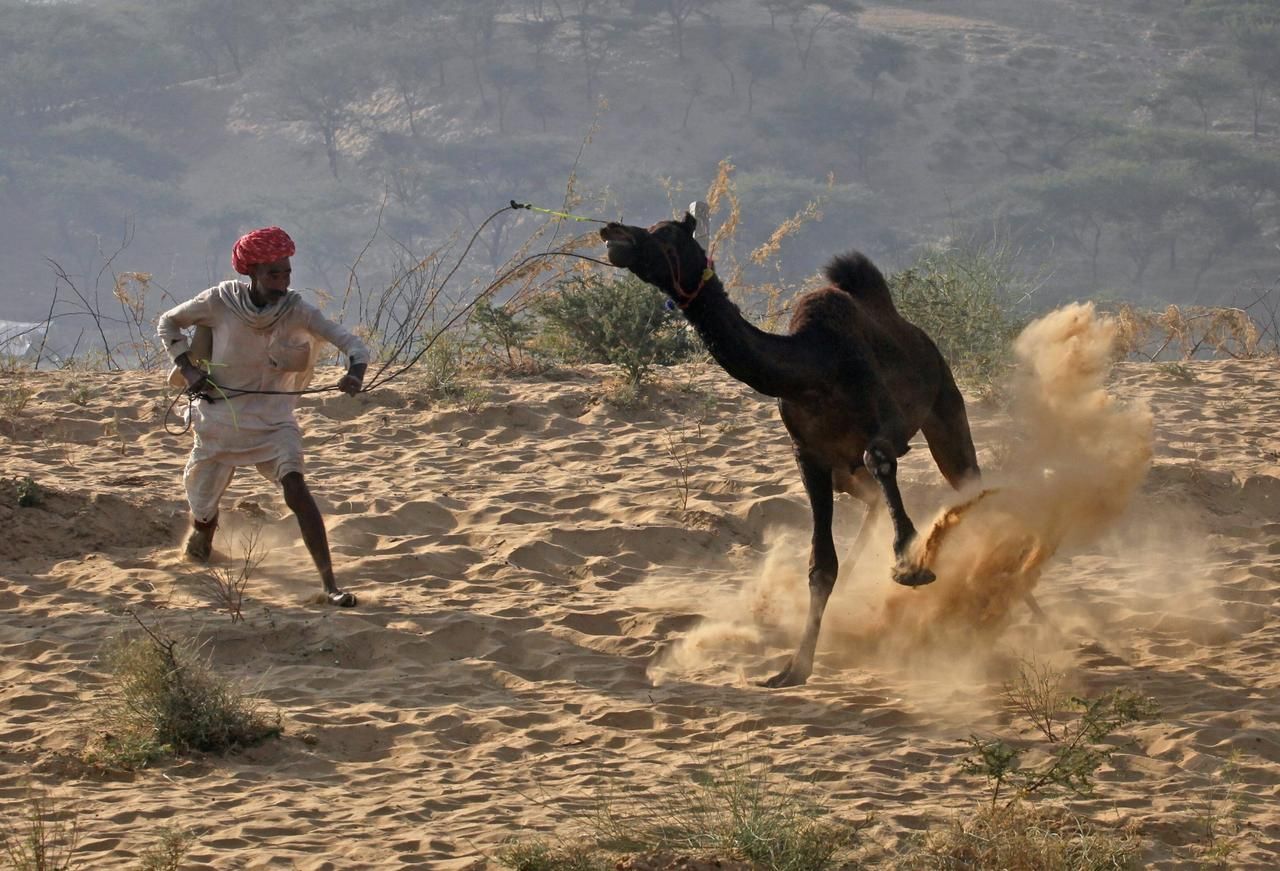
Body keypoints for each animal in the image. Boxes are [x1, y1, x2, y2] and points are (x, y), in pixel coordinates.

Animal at [601, 212, 1018, 686]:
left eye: (667, 233)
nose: (613, 232)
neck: (812, 369)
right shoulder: (810, 455)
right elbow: (821, 565)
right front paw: (793, 668)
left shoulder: (889, 426)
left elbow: (880, 458)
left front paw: (910, 564)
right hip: (845, 470)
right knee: (875, 498)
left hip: (945, 409)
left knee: (968, 484)